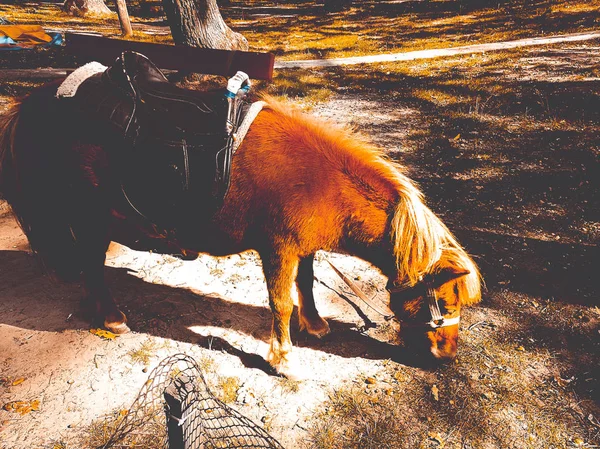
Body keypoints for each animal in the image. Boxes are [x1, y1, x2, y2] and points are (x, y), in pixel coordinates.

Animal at [0, 82, 480, 376]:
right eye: (444, 300)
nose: (447, 356)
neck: (319, 180)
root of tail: (42, 101)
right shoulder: (278, 249)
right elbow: (281, 302)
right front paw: (283, 358)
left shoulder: (303, 249)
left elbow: (306, 286)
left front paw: (316, 324)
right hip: (91, 217)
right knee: (92, 265)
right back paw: (113, 317)